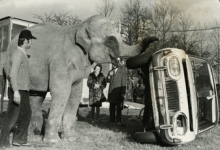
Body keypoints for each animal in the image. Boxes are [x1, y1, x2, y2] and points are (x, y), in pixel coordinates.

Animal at [3, 14, 158, 142]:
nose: (156, 39)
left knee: (36, 97)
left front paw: (70, 139)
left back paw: (35, 133)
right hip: (9, 66)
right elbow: (62, 92)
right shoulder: (60, 62)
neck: (80, 26)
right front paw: (53, 142)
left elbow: (75, 94)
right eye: (110, 40)